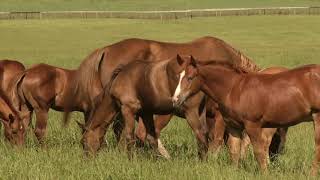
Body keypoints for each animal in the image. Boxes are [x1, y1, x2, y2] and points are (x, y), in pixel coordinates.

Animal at [174, 58, 320, 176]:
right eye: (178, 76)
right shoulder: (233, 127)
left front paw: (265, 174)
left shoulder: (252, 125)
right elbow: (234, 151)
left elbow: (259, 152)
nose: (175, 99)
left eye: (190, 77)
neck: (233, 89)